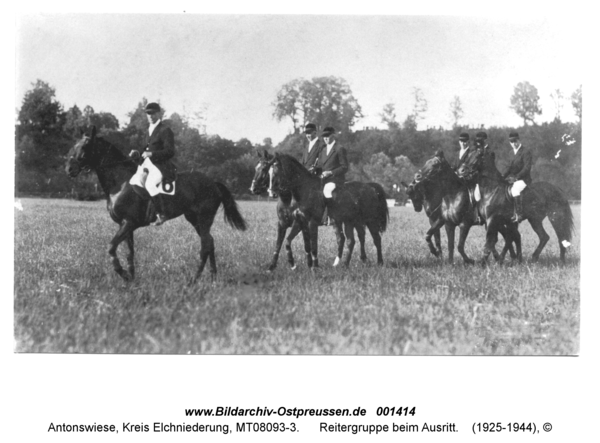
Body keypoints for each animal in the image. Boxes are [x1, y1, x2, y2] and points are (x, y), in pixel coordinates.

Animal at [63, 126, 246, 282]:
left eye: (85, 146)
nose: (69, 169)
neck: (120, 183)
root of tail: (213, 183)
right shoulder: (126, 225)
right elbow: (129, 253)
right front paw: (132, 279)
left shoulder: (129, 223)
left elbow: (111, 247)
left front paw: (123, 274)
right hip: (194, 219)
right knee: (210, 242)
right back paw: (213, 277)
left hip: (204, 218)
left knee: (206, 245)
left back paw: (194, 280)